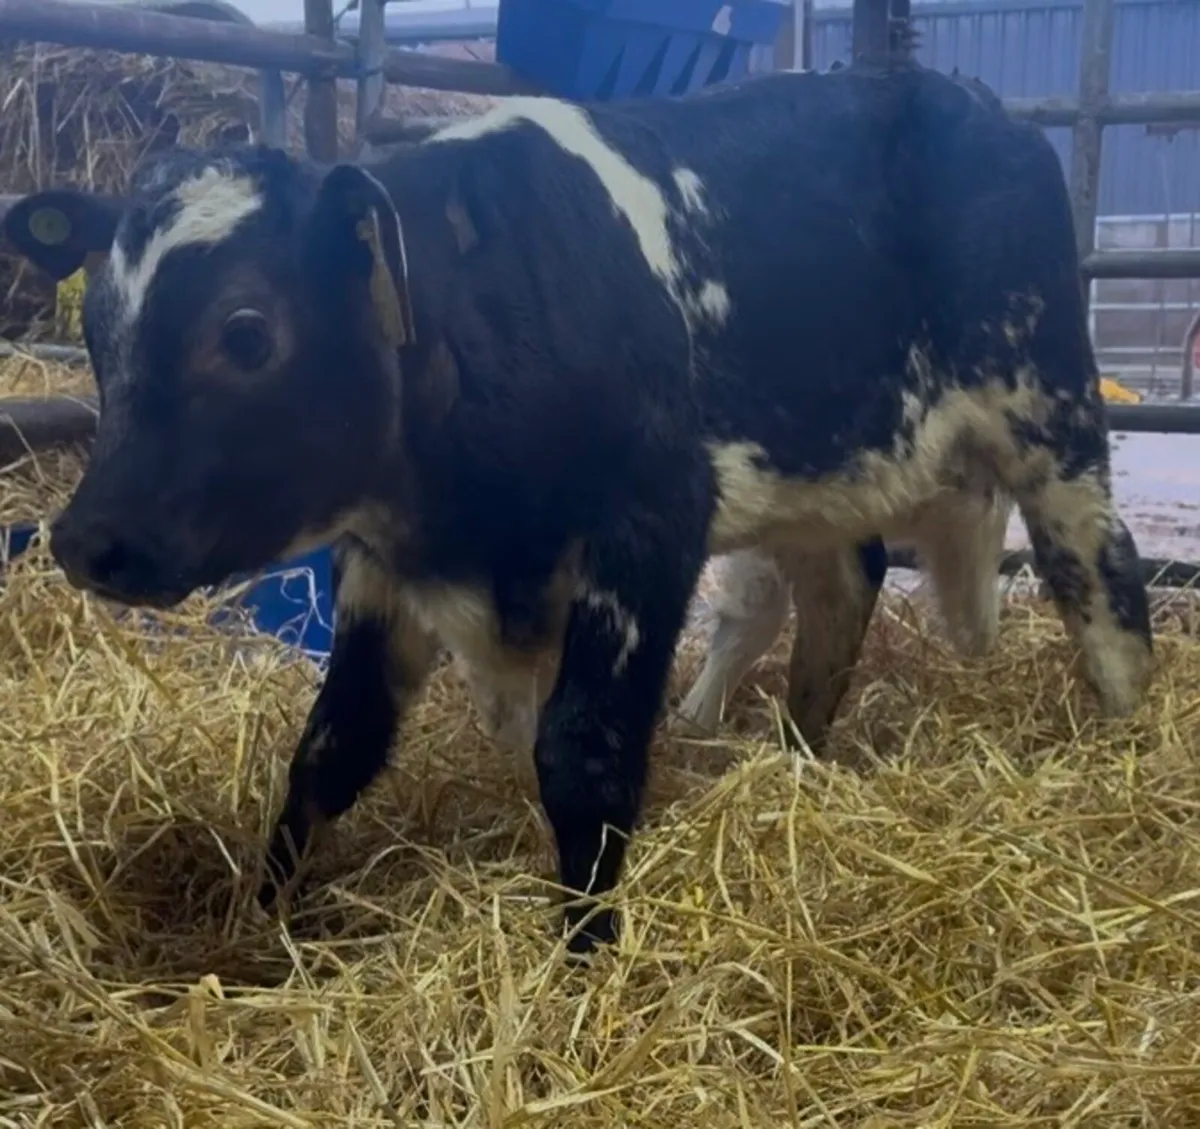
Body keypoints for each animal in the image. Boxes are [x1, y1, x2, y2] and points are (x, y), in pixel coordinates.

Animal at [2, 59, 1153, 955]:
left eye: (246, 332)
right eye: (98, 328)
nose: (87, 540)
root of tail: (978, 105)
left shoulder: (648, 526)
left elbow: (584, 753)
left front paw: (589, 950)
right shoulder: (384, 565)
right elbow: (332, 748)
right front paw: (262, 917)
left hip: (1049, 407)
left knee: (1102, 573)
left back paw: (1129, 736)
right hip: (820, 472)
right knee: (842, 582)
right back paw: (800, 751)